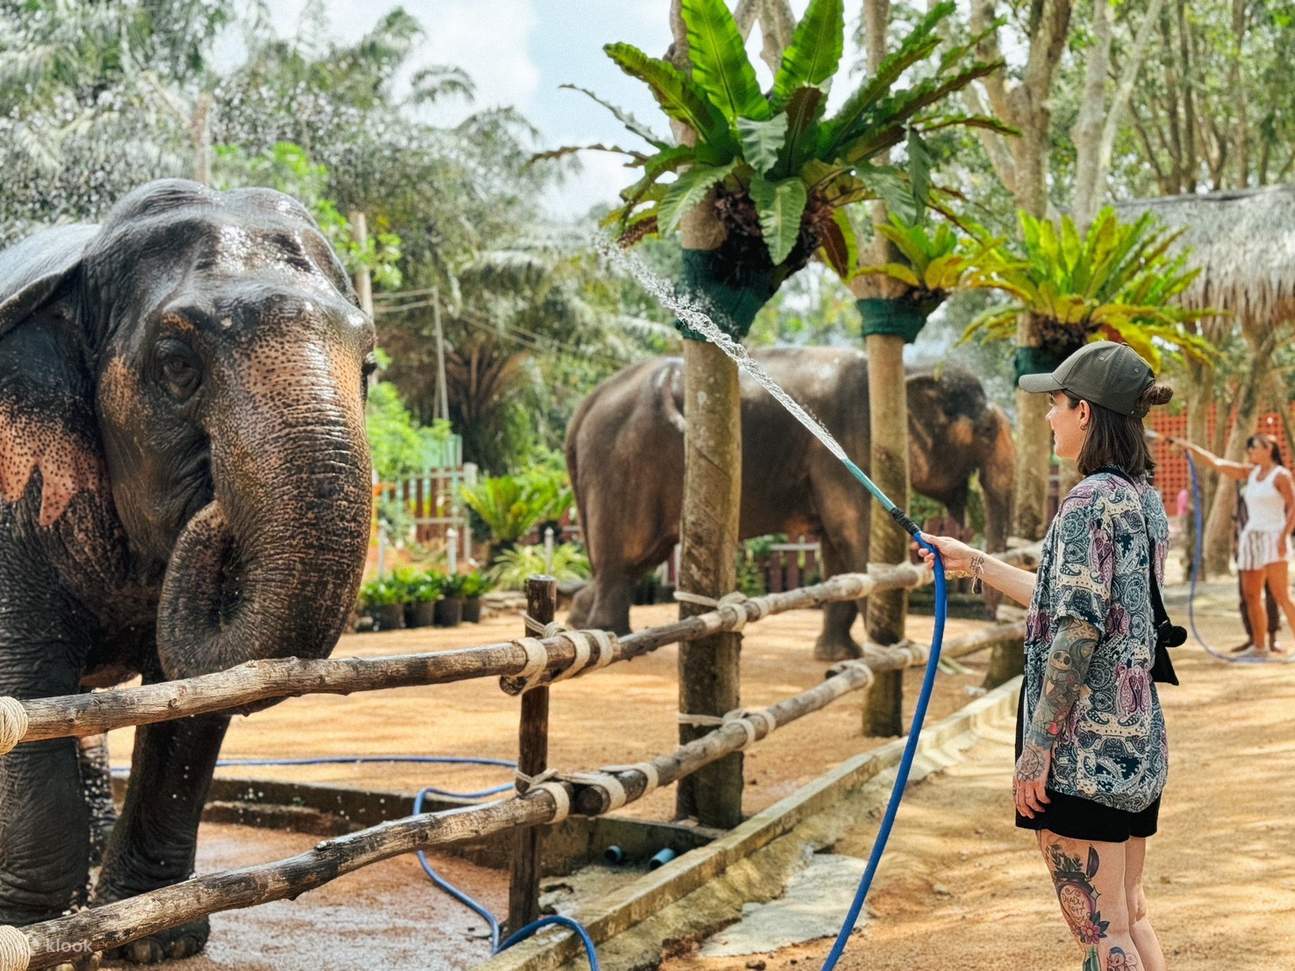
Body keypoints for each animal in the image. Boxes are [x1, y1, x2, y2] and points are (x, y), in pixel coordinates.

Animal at [0, 180, 375, 962]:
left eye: (370, 369)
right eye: (177, 363)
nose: (214, 513)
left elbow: (190, 697)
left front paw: (155, 940)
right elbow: (27, 677)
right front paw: (37, 934)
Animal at [565, 346, 1015, 659]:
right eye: (987, 431)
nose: (991, 615)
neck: (908, 370)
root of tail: (584, 407)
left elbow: (837, 555)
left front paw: (838, 656)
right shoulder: (852, 439)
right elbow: (854, 537)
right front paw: (890, 650)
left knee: (624, 564)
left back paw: (579, 627)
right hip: (622, 466)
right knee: (622, 560)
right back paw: (615, 637)